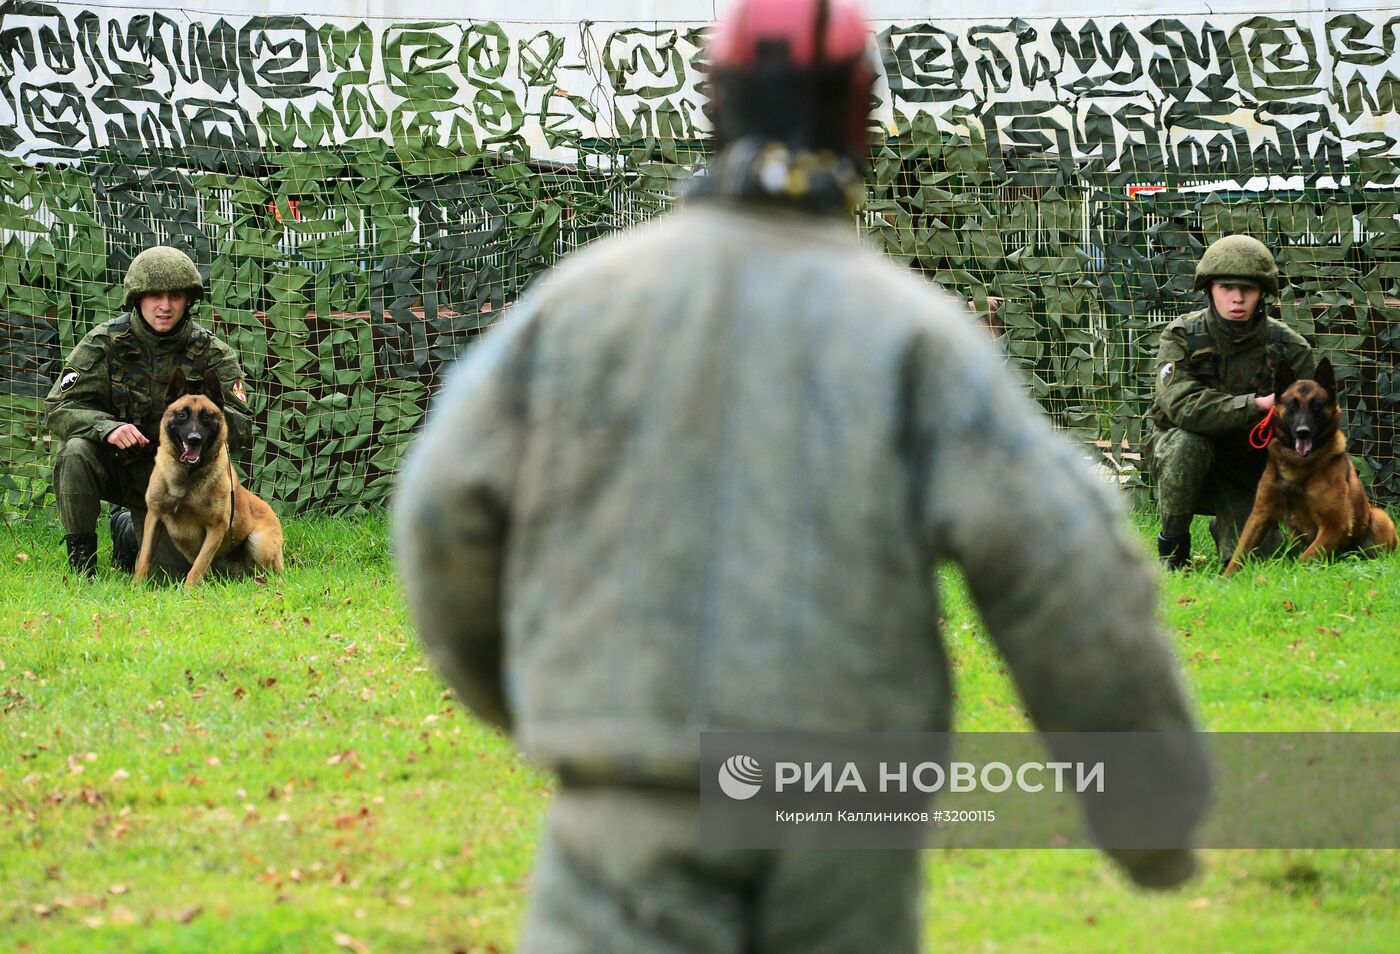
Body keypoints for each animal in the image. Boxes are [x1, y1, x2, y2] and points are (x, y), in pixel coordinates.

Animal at [133, 367, 284, 585]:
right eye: (181, 415)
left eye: (207, 417)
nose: (194, 439)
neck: (187, 476)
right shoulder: (154, 517)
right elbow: (144, 558)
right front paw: (136, 587)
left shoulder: (216, 528)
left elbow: (197, 567)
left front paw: (188, 590)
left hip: (258, 544)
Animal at [1232, 355, 1394, 574]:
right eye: (1292, 405)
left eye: (1316, 405)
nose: (1303, 432)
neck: (1298, 466)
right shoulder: (1260, 515)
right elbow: (1239, 552)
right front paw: (1225, 578)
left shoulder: (1336, 525)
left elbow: (1303, 560)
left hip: (1380, 516)